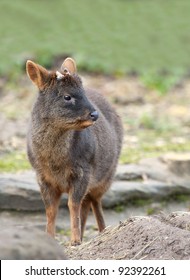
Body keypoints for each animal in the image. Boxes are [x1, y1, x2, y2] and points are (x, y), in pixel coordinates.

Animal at [26, 57, 123, 245]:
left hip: (107, 176)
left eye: (83, 92)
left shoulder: (83, 170)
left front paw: (75, 240)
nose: (94, 114)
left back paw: (102, 231)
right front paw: (51, 238)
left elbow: (73, 204)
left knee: (95, 202)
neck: (54, 161)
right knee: (87, 204)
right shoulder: (42, 176)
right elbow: (50, 209)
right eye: (67, 96)